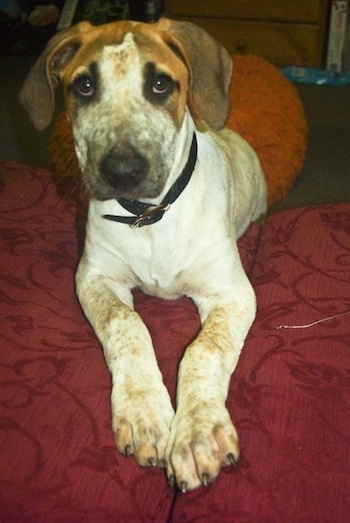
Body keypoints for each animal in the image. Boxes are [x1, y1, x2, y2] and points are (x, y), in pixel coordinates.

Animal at [19, 18, 266, 494]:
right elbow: (127, 325)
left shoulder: (231, 292)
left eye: (159, 84)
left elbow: (203, 349)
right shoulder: (94, 277)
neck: (149, 218)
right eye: (84, 86)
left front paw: (197, 432)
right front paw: (144, 411)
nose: (122, 171)